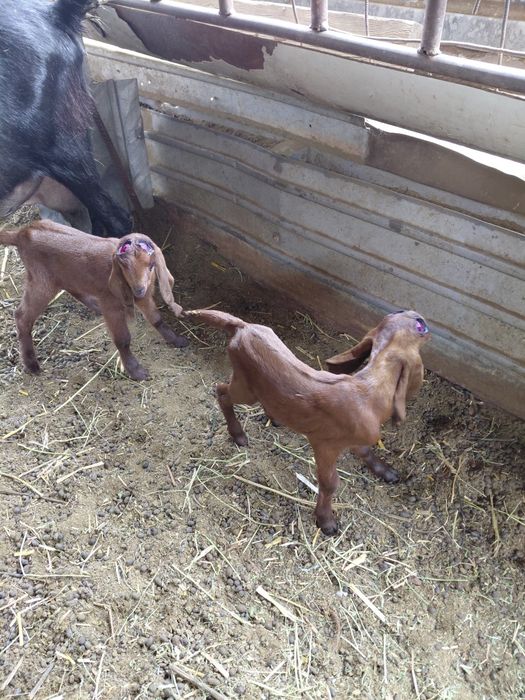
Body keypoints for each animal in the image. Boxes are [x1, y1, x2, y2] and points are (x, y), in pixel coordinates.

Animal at [0, 220, 188, 380]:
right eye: (124, 266)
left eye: (151, 265)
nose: (138, 289)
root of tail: (21, 233)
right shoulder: (111, 303)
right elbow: (123, 339)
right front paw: (136, 371)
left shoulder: (145, 297)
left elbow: (157, 319)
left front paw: (177, 340)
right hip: (41, 281)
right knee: (22, 316)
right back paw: (31, 364)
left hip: (65, 275)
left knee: (72, 288)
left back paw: (94, 306)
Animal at [185, 308, 430, 534]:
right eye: (419, 328)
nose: (415, 314)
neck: (369, 391)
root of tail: (241, 326)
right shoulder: (324, 444)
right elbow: (330, 483)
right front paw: (326, 521)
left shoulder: (353, 437)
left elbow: (364, 451)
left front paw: (386, 471)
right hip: (245, 385)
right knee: (222, 392)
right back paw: (238, 434)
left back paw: (275, 418)